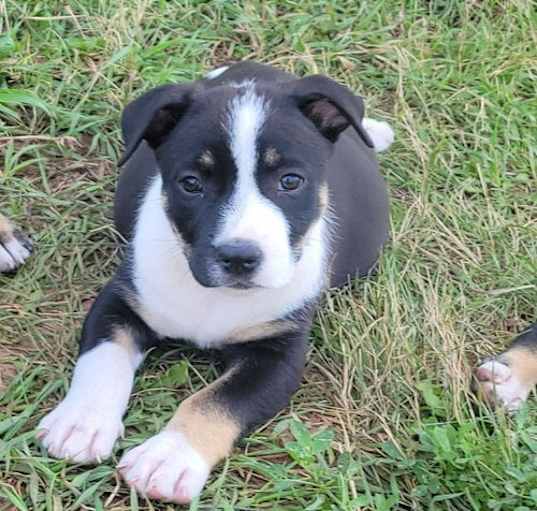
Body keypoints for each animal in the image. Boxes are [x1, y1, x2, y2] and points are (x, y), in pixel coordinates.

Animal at [35, 61, 392, 504]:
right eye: (191, 183)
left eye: (291, 181)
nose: (239, 257)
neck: (217, 298)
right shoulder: (121, 300)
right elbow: (103, 358)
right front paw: (81, 422)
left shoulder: (279, 352)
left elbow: (216, 401)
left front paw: (168, 457)